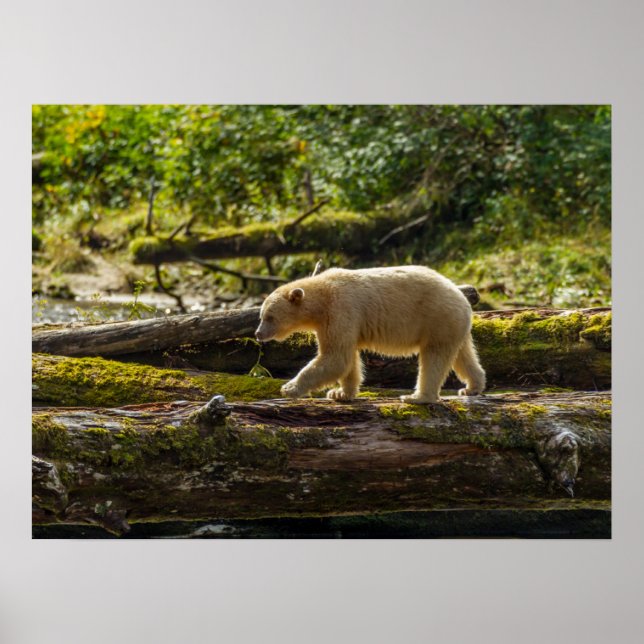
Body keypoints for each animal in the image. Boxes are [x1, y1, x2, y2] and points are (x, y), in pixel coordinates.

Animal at [254, 265, 486, 403]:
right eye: (261, 315)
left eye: (269, 317)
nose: (258, 334)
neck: (322, 296)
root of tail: (463, 298)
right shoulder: (334, 321)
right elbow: (346, 358)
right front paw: (341, 393)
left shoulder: (341, 309)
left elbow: (335, 357)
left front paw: (289, 388)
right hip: (453, 325)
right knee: (463, 355)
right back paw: (472, 387)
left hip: (436, 319)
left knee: (434, 358)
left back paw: (417, 396)